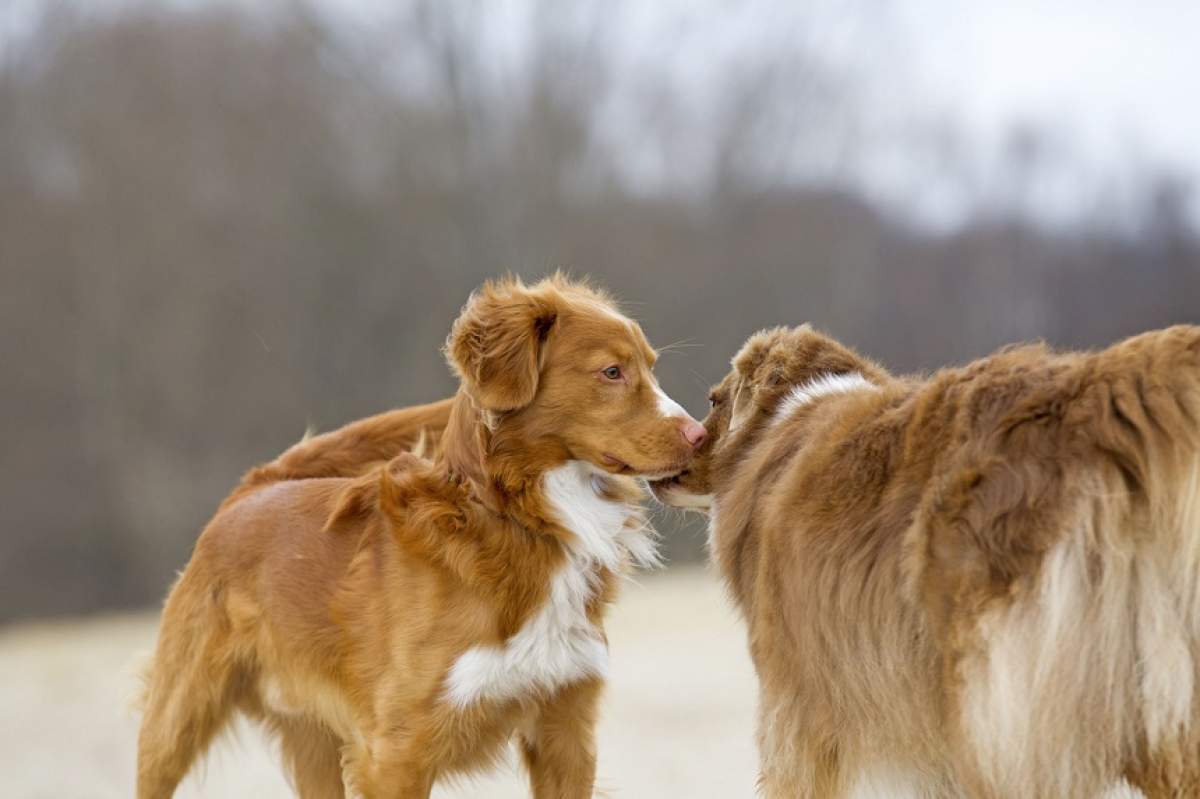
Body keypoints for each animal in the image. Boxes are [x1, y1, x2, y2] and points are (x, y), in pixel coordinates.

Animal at [137, 273, 705, 796]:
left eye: (651, 367)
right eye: (611, 371)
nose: (700, 435)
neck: (519, 521)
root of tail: (252, 488)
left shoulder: (567, 733)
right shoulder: (397, 751)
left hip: (313, 741)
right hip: (176, 721)